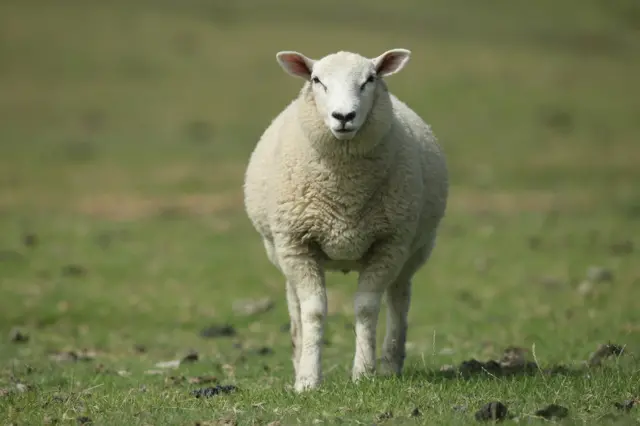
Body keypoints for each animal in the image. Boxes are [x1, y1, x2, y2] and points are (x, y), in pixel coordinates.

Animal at [242, 48, 448, 392]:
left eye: (370, 79)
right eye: (316, 80)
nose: (343, 116)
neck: (345, 189)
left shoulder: (389, 243)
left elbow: (366, 308)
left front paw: (363, 373)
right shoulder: (296, 243)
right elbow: (313, 311)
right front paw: (308, 379)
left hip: (414, 250)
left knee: (398, 300)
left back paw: (391, 363)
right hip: (281, 252)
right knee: (295, 303)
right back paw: (298, 357)